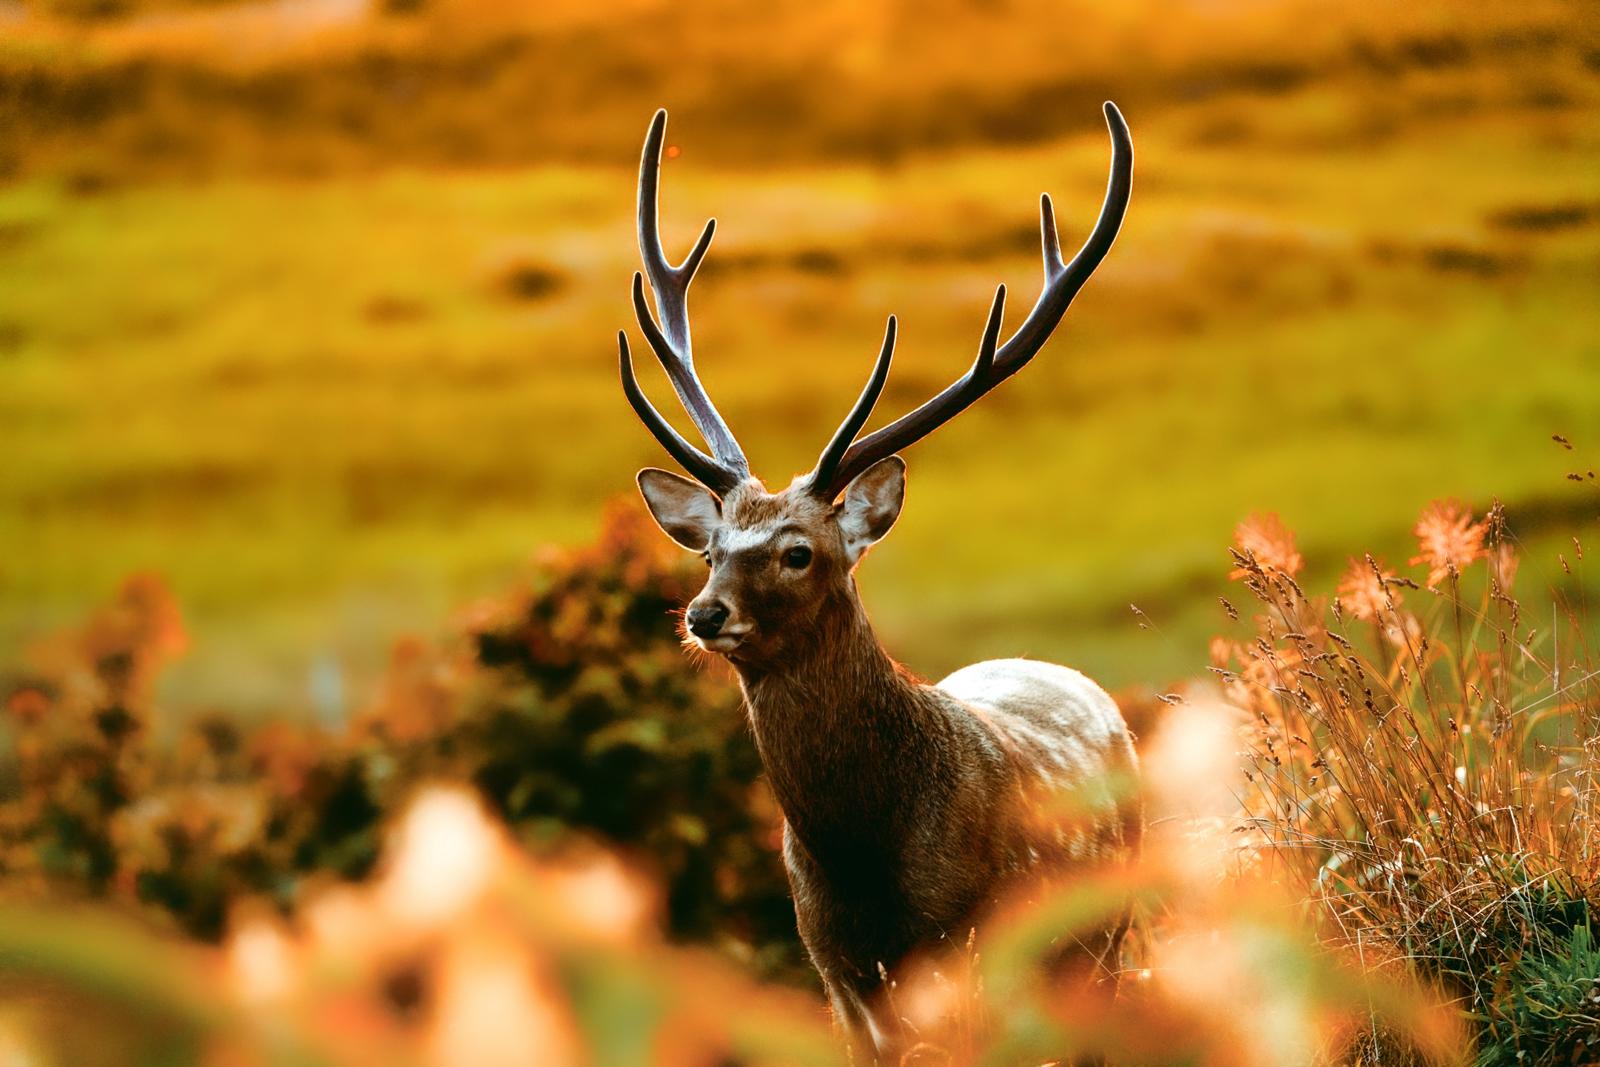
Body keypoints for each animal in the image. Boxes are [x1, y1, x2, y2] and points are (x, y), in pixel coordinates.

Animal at [617, 106, 1145, 1062]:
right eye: (710, 549)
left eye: (798, 551)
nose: (703, 613)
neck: (867, 877)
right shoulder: (833, 979)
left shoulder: (974, 959)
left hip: (1107, 937)